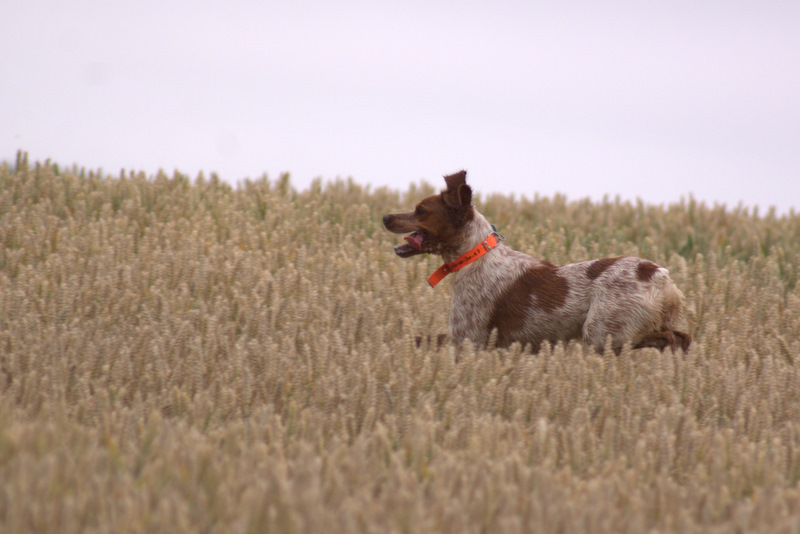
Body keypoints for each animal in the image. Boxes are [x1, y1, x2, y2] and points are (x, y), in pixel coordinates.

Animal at [384, 172, 692, 356]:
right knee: (681, 337)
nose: (386, 217)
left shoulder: (467, 339)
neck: (475, 256)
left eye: (421, 211)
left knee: (666, 338)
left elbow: (422, 340)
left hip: (600, 334)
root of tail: (657, 274)